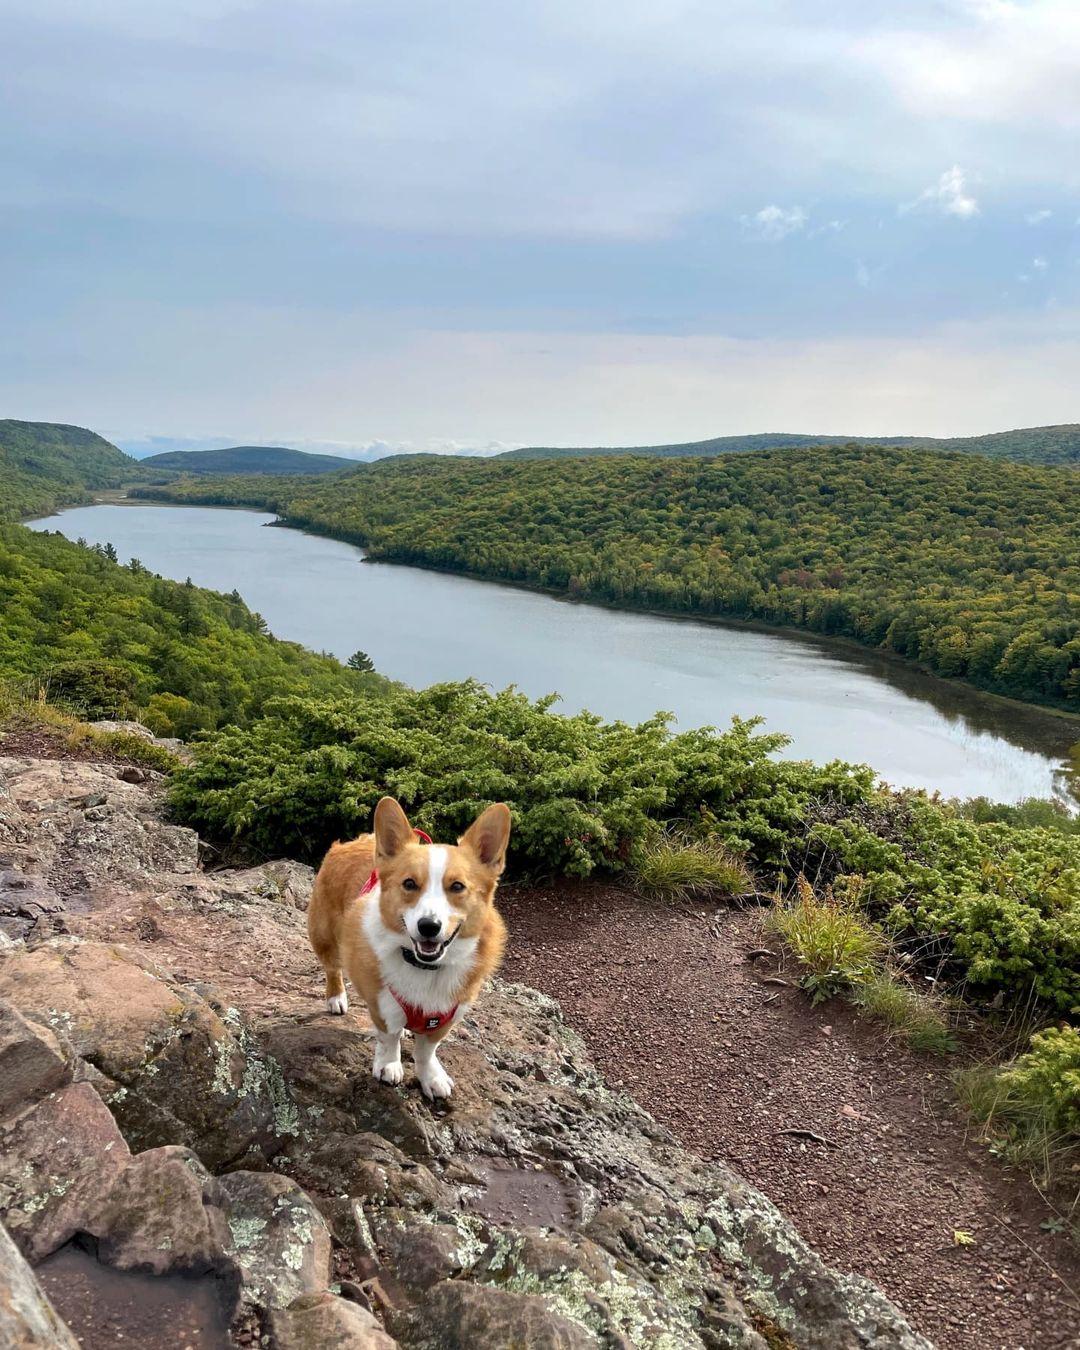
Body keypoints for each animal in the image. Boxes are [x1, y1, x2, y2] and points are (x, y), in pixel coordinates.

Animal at [306, 799, 513, 1096]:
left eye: (457, 886)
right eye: (409, 883)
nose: (429, 926)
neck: (426, 968)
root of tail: (347, 843)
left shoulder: (448, 1015)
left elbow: (427, 1050)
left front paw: (431, 1077)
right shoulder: (381, 1002)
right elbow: (388, 1037)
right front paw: (388, 1065)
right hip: (324, 936)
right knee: (332, 968)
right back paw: (336, 998)